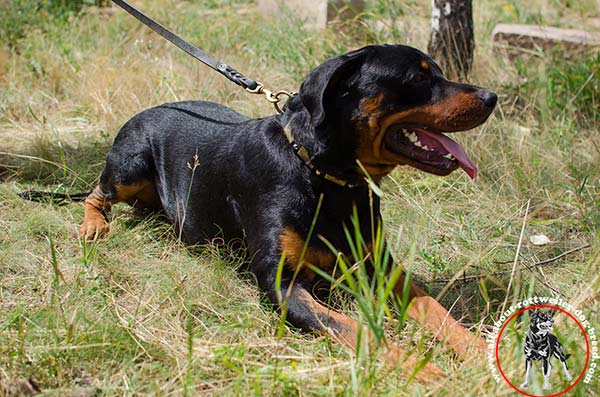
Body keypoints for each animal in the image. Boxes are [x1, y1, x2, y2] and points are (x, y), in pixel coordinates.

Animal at [76, 44, 496, 378]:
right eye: (418, 77)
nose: (491, 97)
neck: (326, 178)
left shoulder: (382, 267)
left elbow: (436, 309)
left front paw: (483, 350)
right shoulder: (281, 283)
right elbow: (351, 327)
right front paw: (417, 368)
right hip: (129, 167)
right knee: (95, 194)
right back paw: (94, 226)